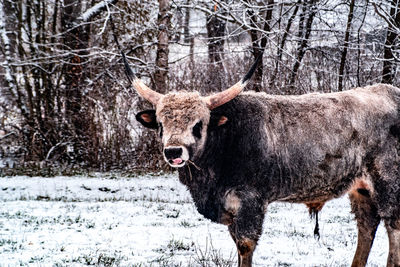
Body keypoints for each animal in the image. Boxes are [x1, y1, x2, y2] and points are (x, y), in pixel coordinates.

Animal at [127, 57, 400, 267]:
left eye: (198, 124)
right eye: (160, 125)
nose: (174, 151)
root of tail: (391, 92)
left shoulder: (250, 202)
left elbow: (245, 245)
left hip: (388, 183)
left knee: (393, 225)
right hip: (362, 189)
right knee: (367, 225)